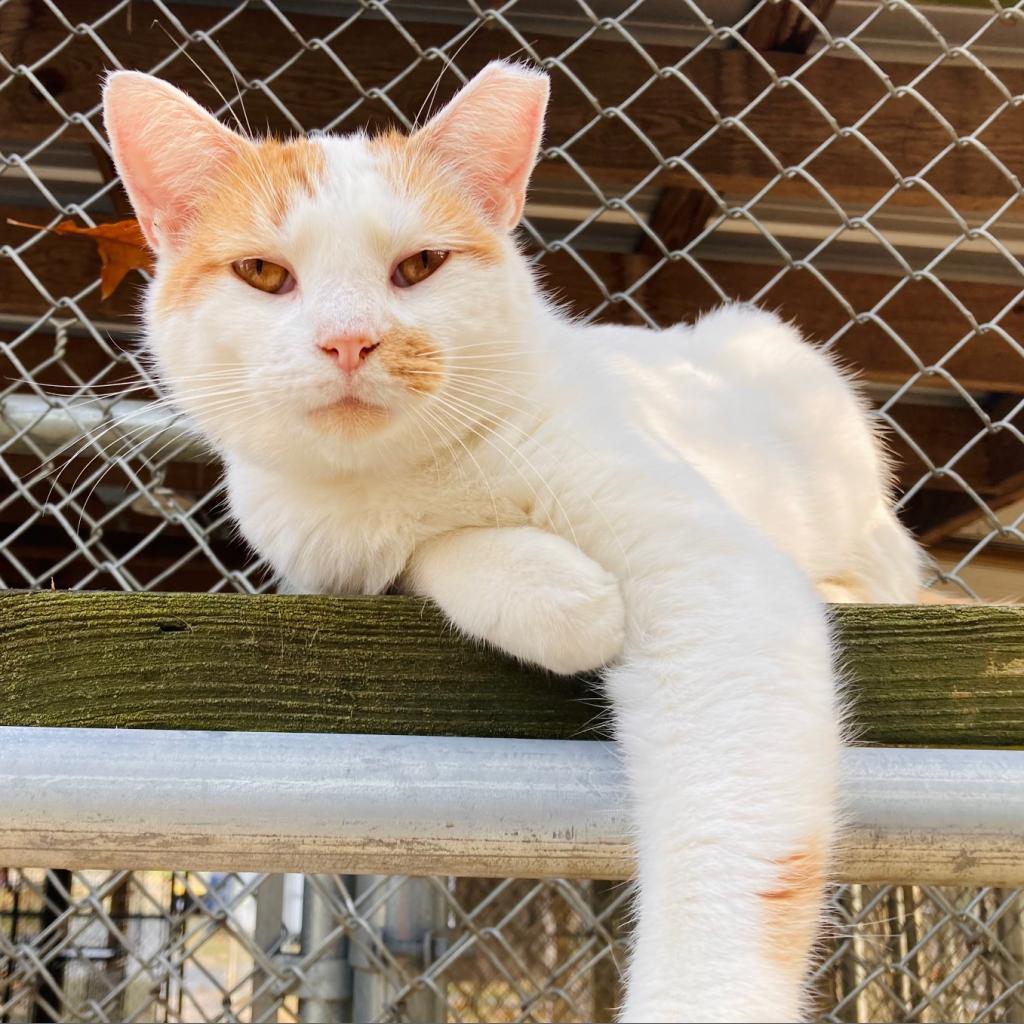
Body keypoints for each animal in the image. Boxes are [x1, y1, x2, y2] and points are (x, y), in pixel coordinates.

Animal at [105, 64, 929, 1024]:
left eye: (421, 266)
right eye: (263, 273)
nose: (350, 340)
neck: (399, 482)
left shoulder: (711, 573)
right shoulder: (322, 546)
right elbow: (431, 557)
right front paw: (562, 598)